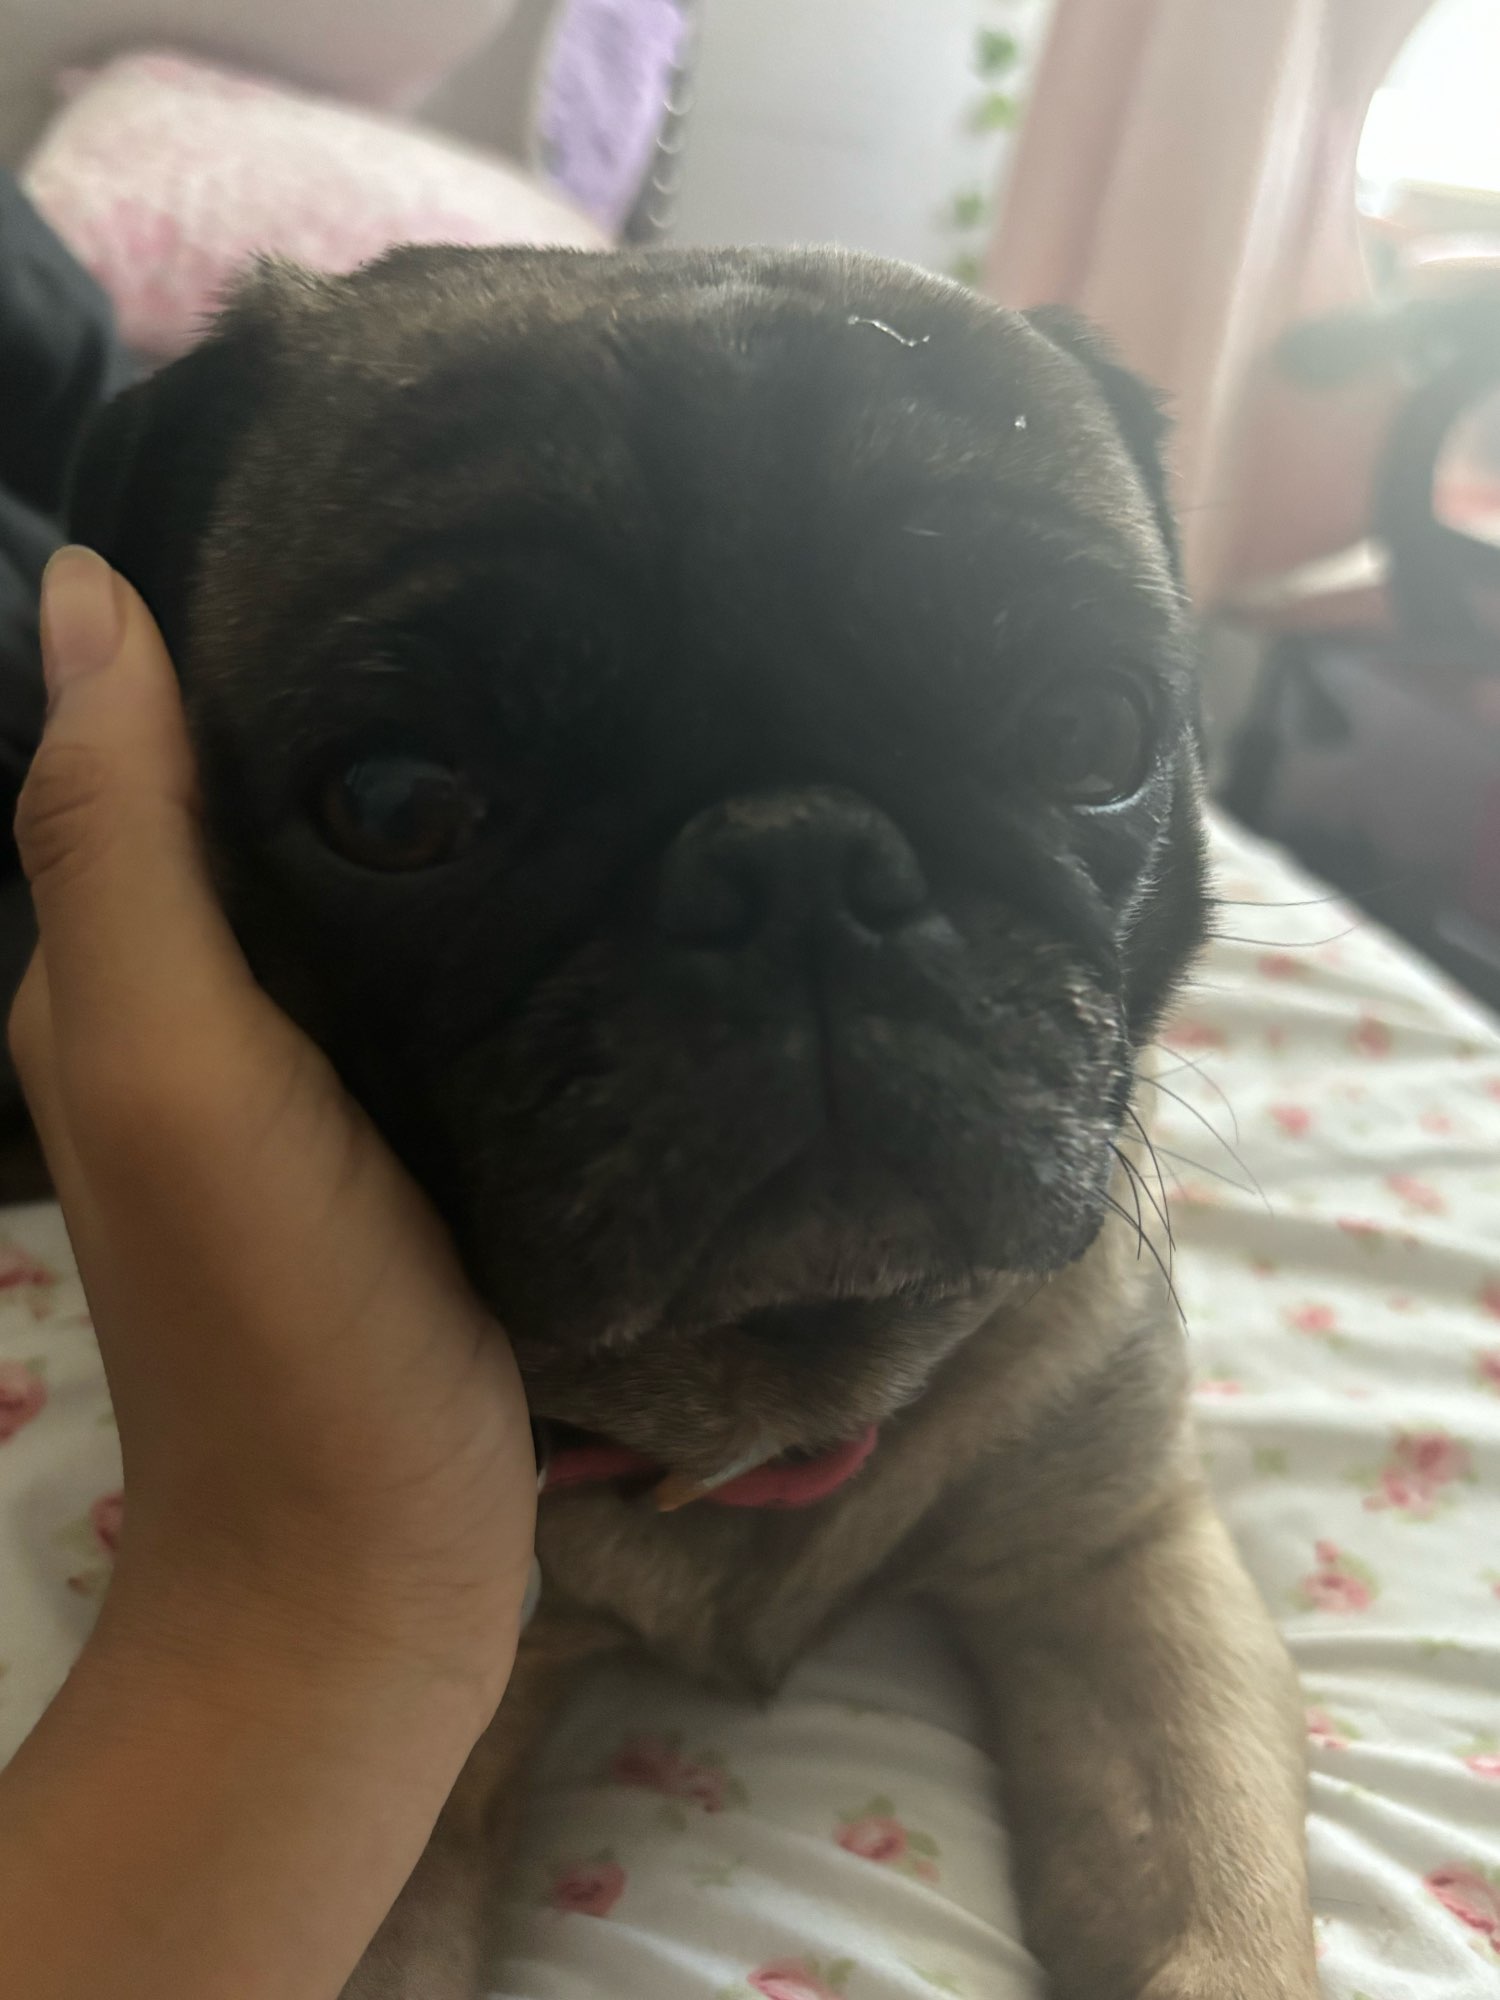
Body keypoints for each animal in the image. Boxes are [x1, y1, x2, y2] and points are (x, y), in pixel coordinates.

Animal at [69, 246, 1318, 2000]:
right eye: (392, 805)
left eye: (1091, 736)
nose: (799, 863)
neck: (772, 1401)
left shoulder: (1129, 1573)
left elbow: (1228, 1929)